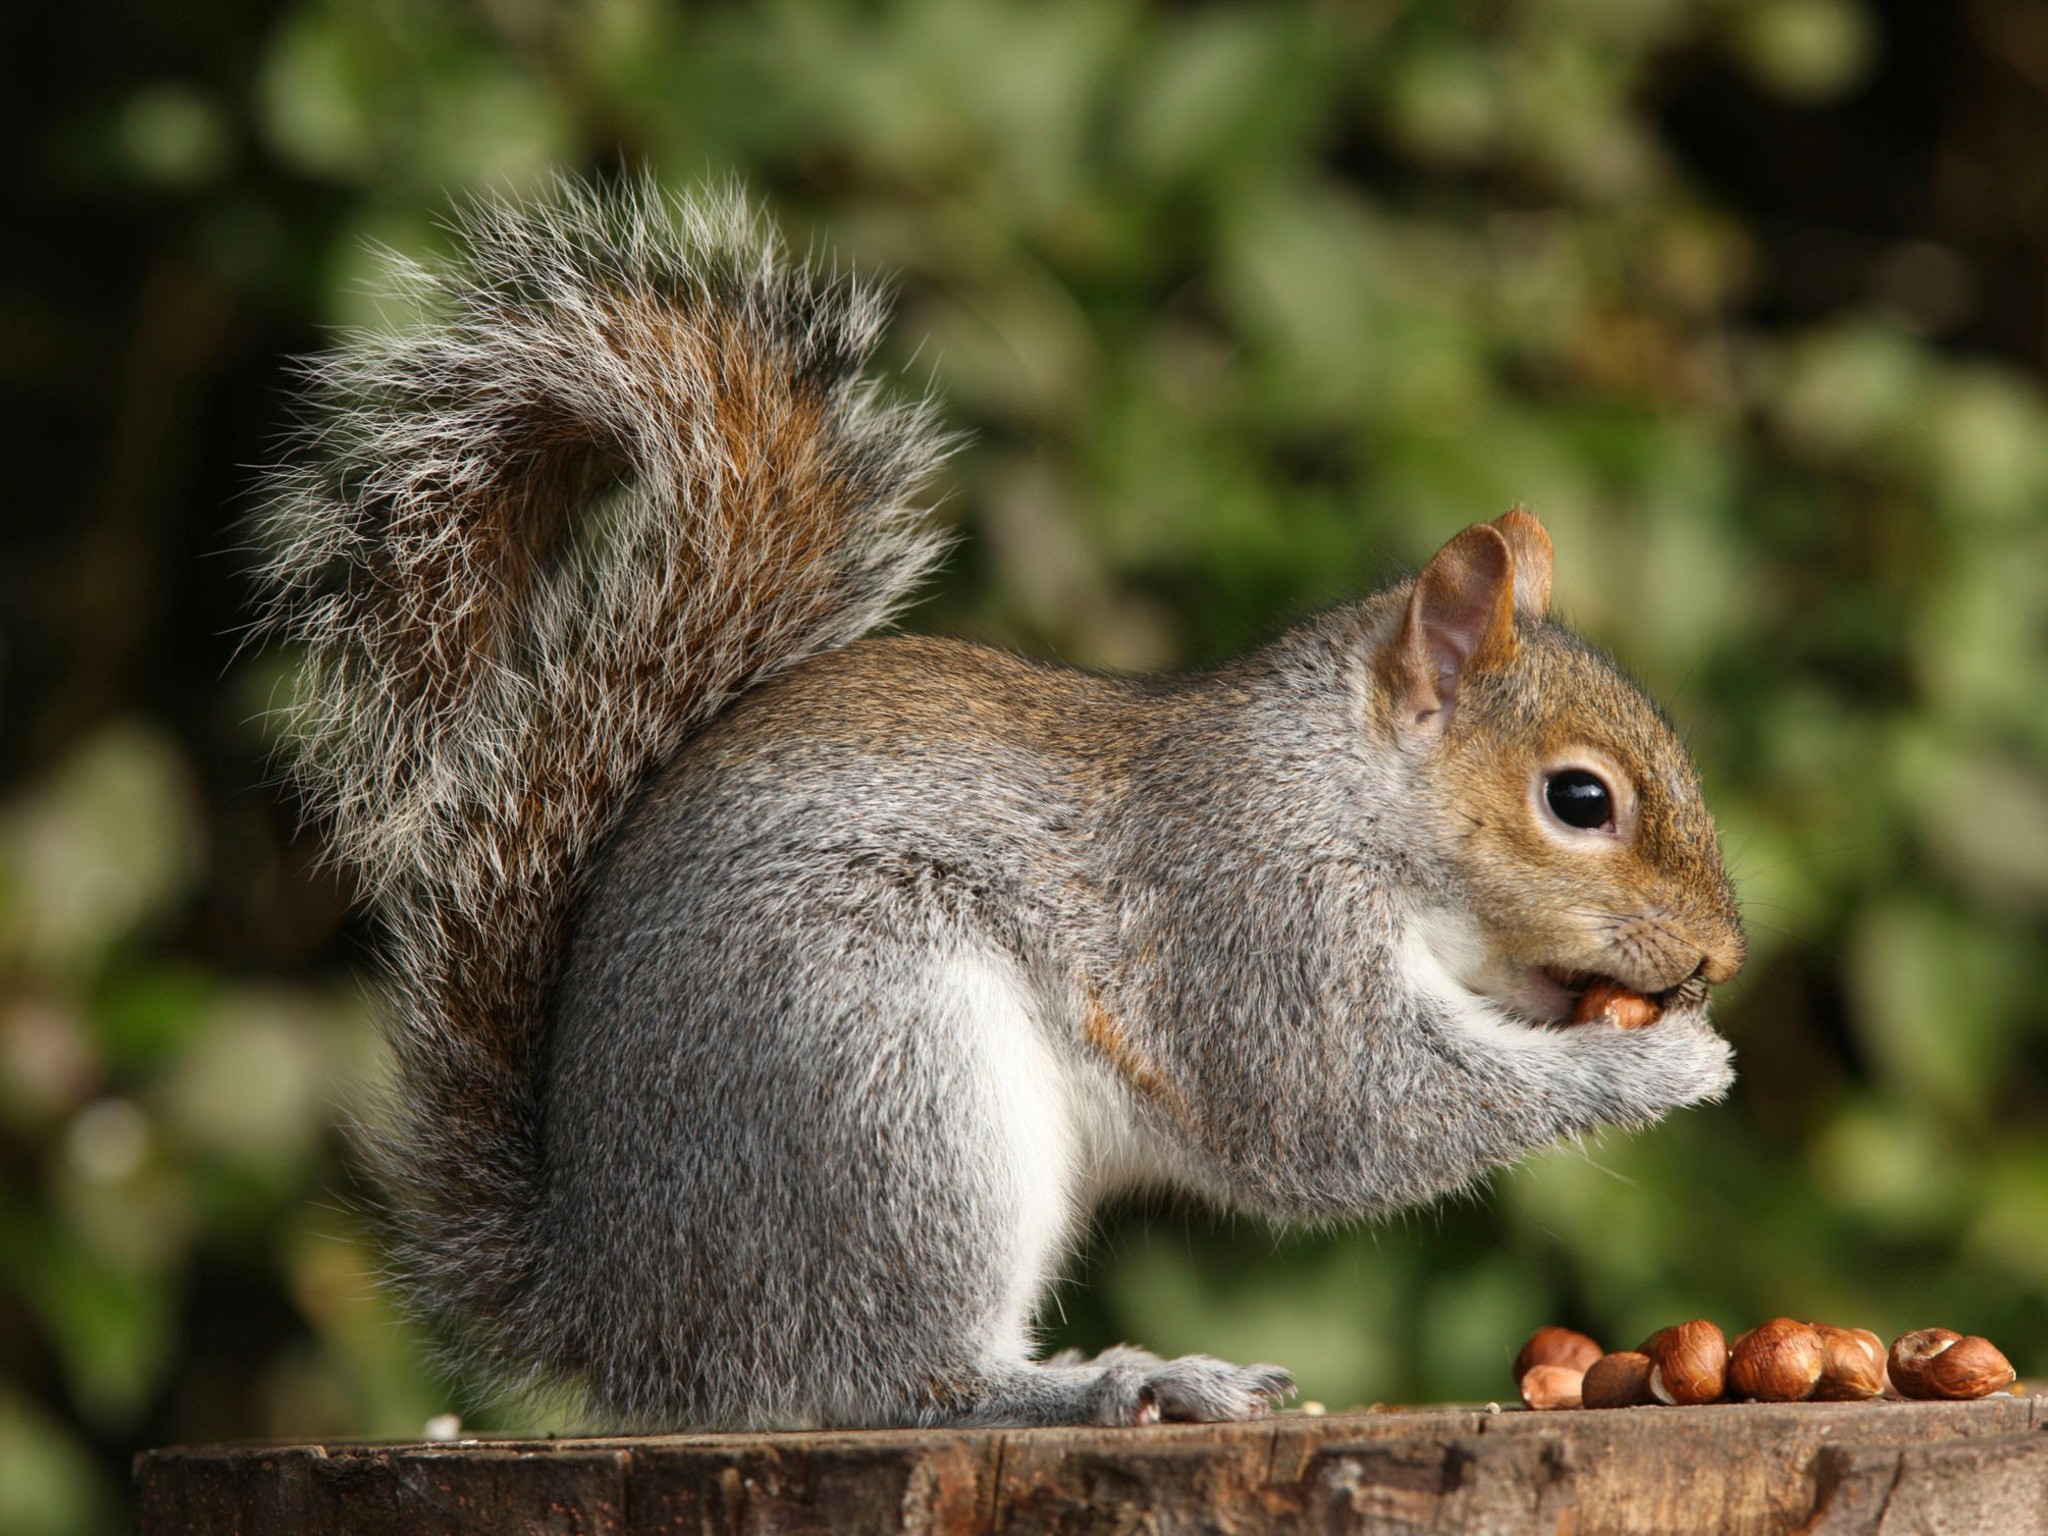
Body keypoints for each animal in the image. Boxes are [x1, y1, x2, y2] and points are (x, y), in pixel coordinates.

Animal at [253, 178, 1746, 1431]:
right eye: (1578, 800)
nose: (1723, 955)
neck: (1338, 791)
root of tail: (621, 1312)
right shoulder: (1251, 919)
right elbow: (1343, 1110)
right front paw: (1659, 1066)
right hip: (886, 1080)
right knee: (892, 1381)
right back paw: (1108, 1386)